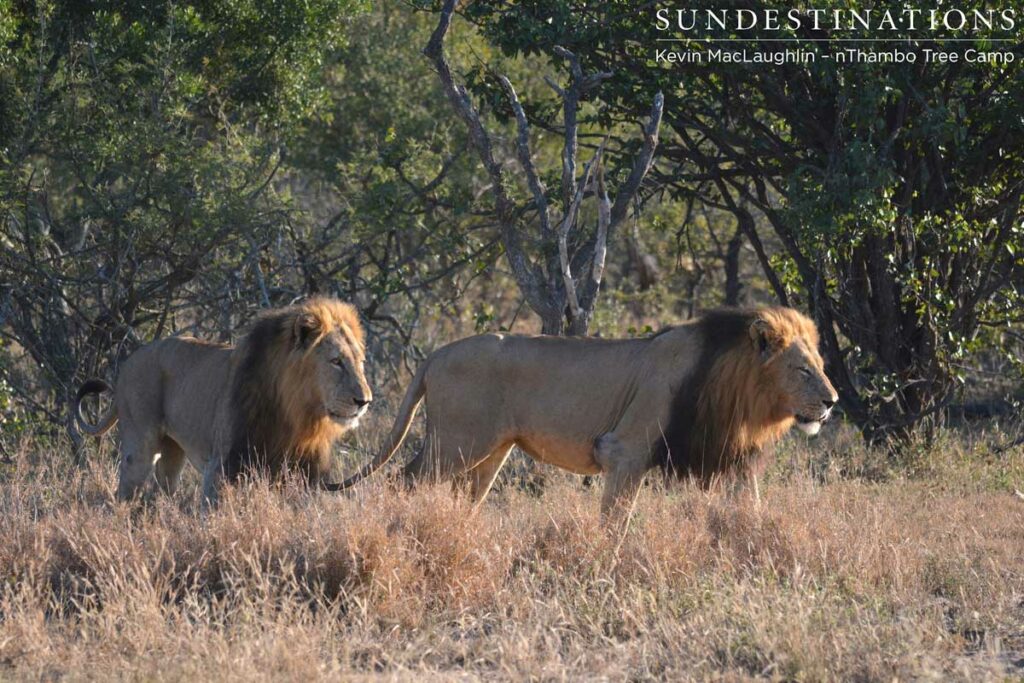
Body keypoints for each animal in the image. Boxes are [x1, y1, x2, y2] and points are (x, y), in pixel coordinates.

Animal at [75, 297, 372, 505]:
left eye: (360, 362)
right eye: (336, 361)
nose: (364, 401)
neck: (297, 415)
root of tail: (127, 363)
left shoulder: (304, 473)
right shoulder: (222, 467)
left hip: (172, 452)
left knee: (160, 492)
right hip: (139, 448)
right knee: (125, 493)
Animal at [335, 307, 837, 517]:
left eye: (821, 365)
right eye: (802, 370)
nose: (832, 402)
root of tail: (436, 353)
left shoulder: (733, 458)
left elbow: (750, 508)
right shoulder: (626, 450)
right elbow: (616, 520)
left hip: (488, 452)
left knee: (465, 496)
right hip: (456, 443)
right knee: (402, 481)